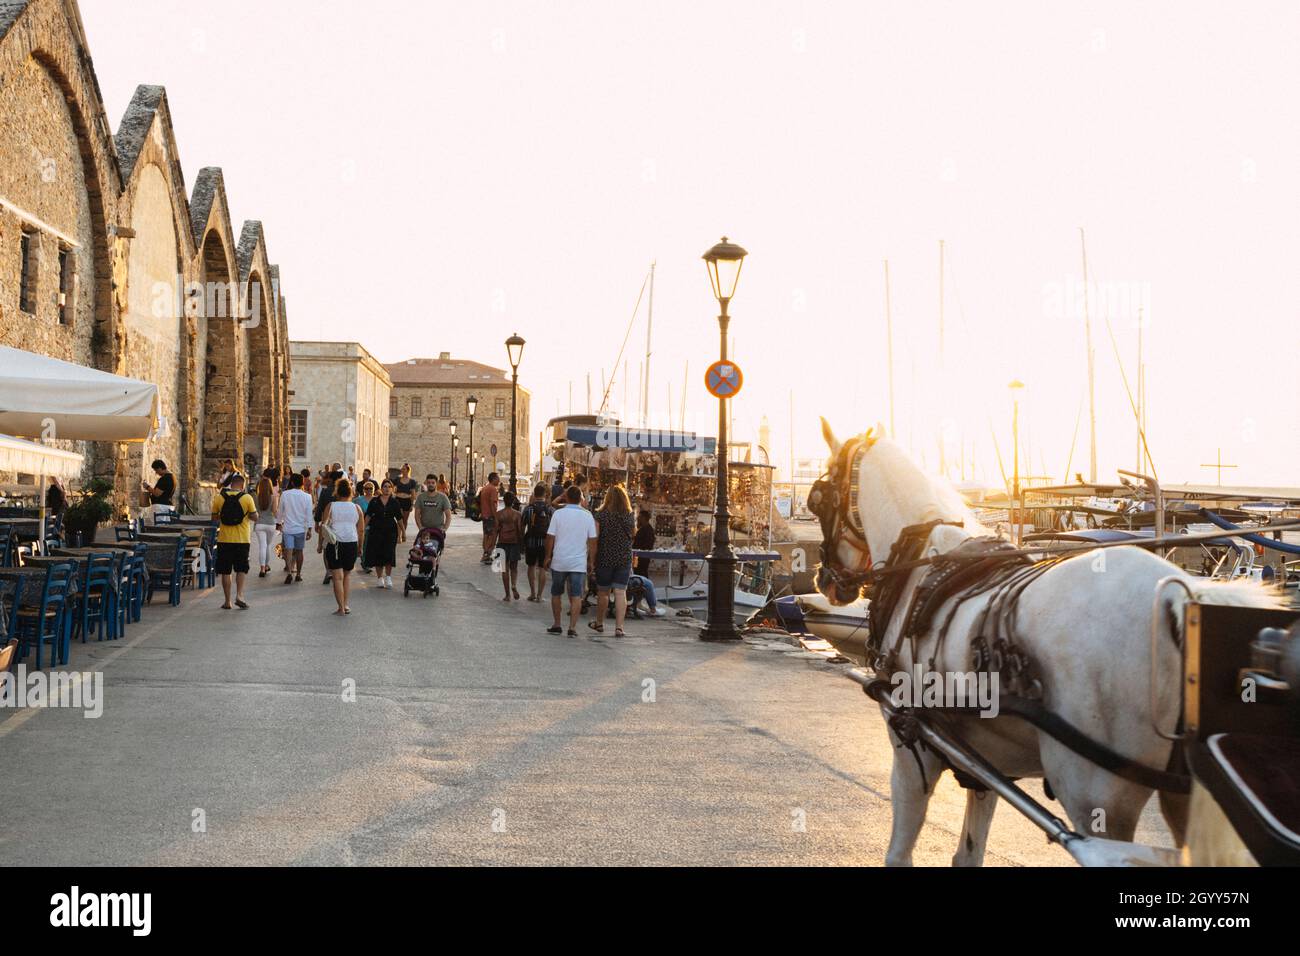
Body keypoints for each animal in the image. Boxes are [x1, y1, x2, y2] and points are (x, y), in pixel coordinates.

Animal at [816, 421, 1274, 863]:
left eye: (817, 501)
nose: (825, 579)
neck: (923, 564)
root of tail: (1177, 596)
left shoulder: (913, 752)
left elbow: (899, 853)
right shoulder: (981, 765)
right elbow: (968, 854)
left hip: (1096, 802)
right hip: (1182, 799)